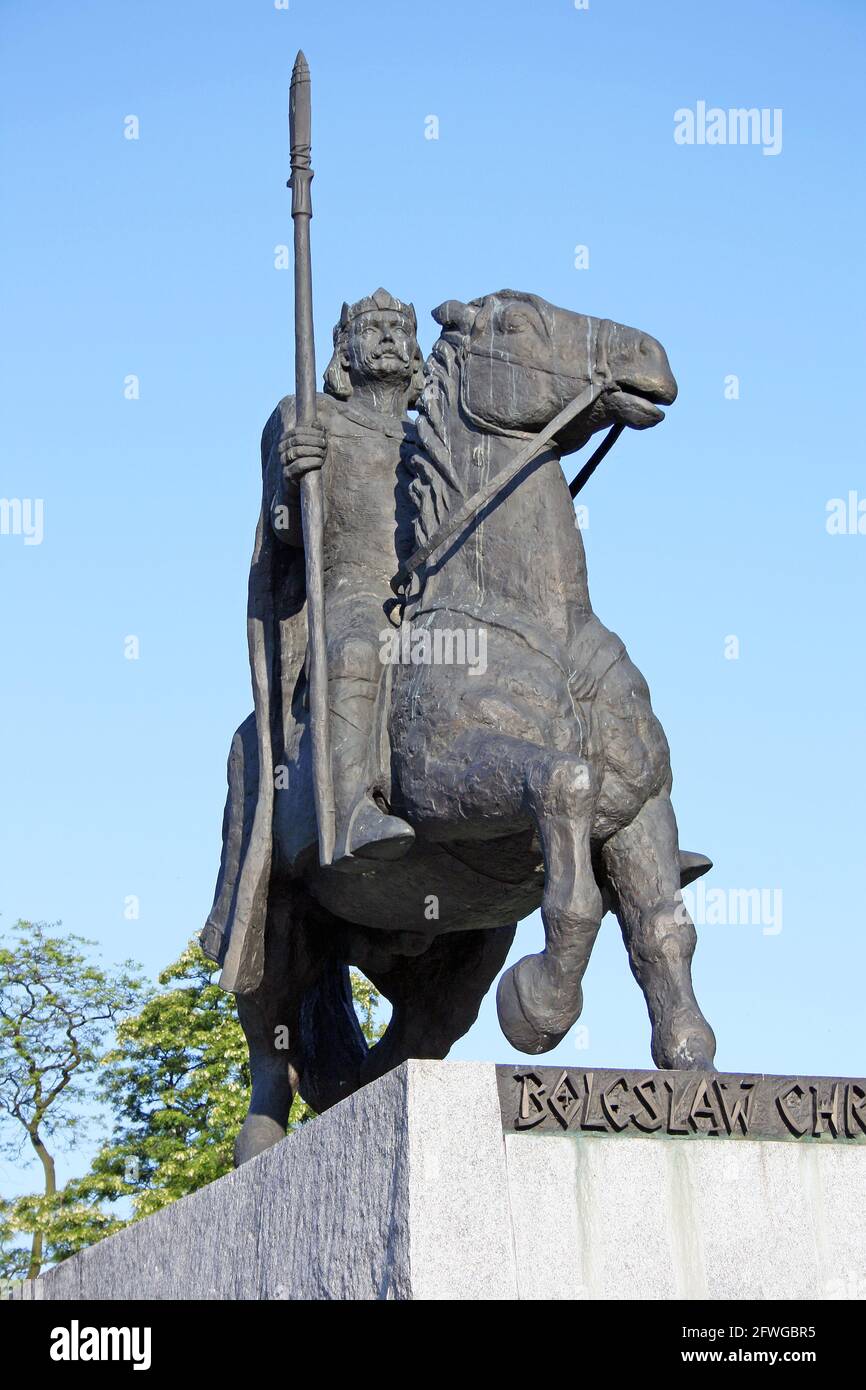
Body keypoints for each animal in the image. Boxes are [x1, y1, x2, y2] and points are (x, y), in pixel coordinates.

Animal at [209, 290, 717, 1162]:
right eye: (518, 324)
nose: (648, 356)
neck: (543, 631)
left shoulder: (645, 804)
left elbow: (660, 929)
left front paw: (690, 1058)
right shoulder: (456, 784)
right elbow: (565, 789)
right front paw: (540, 1009)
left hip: (452, 950)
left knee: (404, 1045)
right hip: (274, 915)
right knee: (271, 1031)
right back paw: (260, 1145)